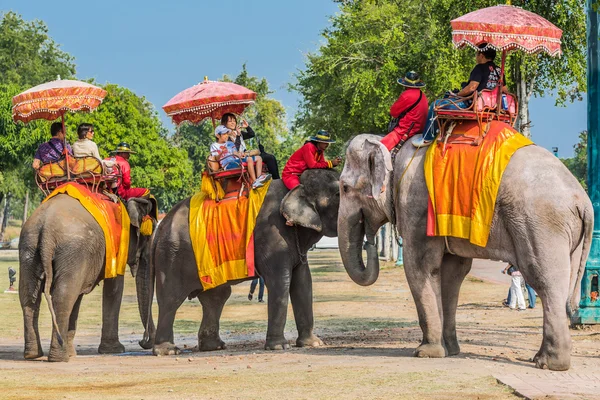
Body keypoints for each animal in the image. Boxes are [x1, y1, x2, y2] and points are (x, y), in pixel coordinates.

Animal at [18, 195, 156, 362]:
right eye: (148, 237)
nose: (143, 341)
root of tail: (46, 231)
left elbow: (78, 297)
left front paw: (72, 353)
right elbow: (114, 288)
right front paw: (114, 350)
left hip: (30, 247)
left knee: (29, 296)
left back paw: (33, 354)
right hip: (72, 251)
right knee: (63, 296)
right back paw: (60, 358)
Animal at [139, 170, 338, 356]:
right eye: (338, 193)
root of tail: (160, 226)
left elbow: (303, 282)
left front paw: (313, 343)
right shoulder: (272, 234)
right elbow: (280, 282)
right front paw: (279, 347)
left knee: (216, 297)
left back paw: (214, 347)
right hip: (172, 255)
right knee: (172, 298)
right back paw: (169, 351)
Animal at [338, 134, 592, 372]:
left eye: (344, 188)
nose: (369, 241)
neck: (391, 148)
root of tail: (584, 201)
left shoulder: (415, 205)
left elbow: (420, 266)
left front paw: (426, 353)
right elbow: (453, 273)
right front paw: (450, 350)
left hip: (541, 225)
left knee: (544, 281)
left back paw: (550, 363)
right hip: (563, 232)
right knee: (561, 283)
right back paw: (540, 359)